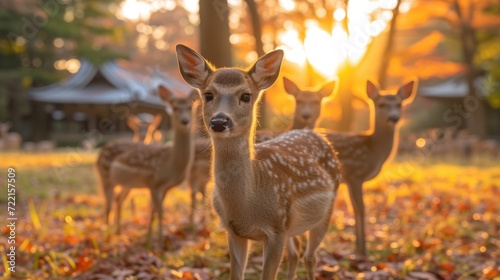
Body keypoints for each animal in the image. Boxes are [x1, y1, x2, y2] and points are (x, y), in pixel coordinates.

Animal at [94, 83, 197, 245]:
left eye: (190, 107)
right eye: (174, 107)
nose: (185, 121)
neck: (170, 163)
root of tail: (102, 150)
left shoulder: (165, 187)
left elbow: (154, 210)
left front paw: (150, 239)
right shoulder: (153, 182)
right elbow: (159, 211)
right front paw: (159, 243)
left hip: (126, 184)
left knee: (118, 200)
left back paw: (118, 232)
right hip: (105, 177)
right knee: (107, 206)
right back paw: (107, 238)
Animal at [174, 44, 342, 280]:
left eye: (246, 96)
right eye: (208, 94)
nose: (219, 121)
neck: (247, 205)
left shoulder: (277, 229)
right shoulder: (233, 231)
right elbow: (236, 275)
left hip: (327, 208)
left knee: (310, 256)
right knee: (296, 253)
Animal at [324, 79, 418, 256]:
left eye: (399, 104)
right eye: (382, 104)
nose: (394, 118)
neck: (374, 150)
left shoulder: (350, 180)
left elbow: (354, 209)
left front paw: (357, 247)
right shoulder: (355, 175)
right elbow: (361, 208)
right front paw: (363, 250)